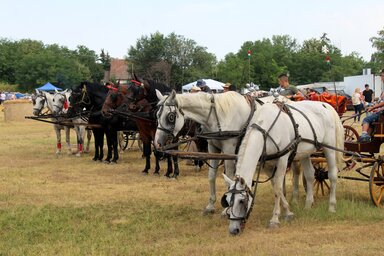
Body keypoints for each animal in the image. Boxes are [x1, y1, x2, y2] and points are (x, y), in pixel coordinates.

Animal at [153, 90, 296, 214]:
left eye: (170, 117)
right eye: (157, 115)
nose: (157, 143)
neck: (218, 115)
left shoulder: (229, 149)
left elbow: (230, 175)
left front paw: (228, 207)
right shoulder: (212, 148)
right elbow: (211, 176)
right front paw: (210, 205)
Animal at [220, 100, 344, 234]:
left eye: (241, 201)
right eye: (227, 200)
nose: (233, 230)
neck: (265, 131)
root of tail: (325, 105)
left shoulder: (283, 160)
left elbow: (278, 188)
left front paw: (275, 219)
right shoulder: (267, 164)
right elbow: (276, 186)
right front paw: (288, 212)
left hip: (329, 147)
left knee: (332, 175)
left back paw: (331, 207)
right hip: (305, 152)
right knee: (310, 175)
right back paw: (308, 205)